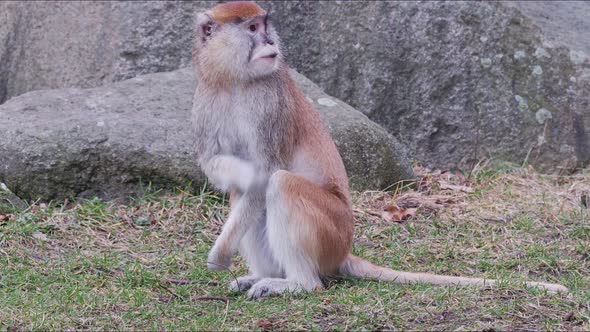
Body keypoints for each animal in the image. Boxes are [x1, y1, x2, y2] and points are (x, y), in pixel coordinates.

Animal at [192, 0, 572, 298]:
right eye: (252, 27)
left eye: (265, 26)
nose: (270, 41)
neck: (237, 82)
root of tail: (343, 251)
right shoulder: (206, 97)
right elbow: (217, 164)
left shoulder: (269, 104)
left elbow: (265, 172)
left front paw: (220, 255)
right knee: (243, 194)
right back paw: (264, 275)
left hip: (331, 230)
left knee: (280, 184)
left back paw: (297, 283)